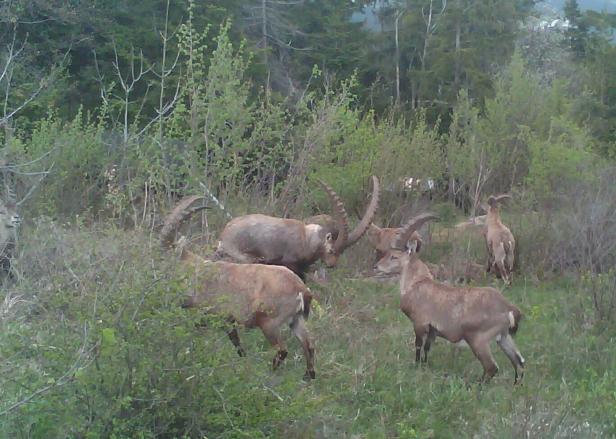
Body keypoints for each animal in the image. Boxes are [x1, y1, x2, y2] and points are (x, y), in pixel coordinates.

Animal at [162, 198, 318, 380]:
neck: (199, 272)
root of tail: (302, 289)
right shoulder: (228, 321)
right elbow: (238, 345)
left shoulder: (217, 316)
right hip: (296, 320)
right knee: (309, 344)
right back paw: (308, 376)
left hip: (269, 323)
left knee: (282, 350)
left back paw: (269, 373)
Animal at [376, 215, 524, 384]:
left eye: (394, 256)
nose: (376, 266)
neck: (416, 282)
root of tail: (508, 307)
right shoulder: (433, 330)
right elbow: (427, 348)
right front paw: (425, 365)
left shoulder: (420, 324)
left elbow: (418, 346)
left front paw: (416, 366)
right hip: (504, 337)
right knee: (519, 362)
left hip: (478, 339)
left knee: (491, 367)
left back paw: (475, 385)